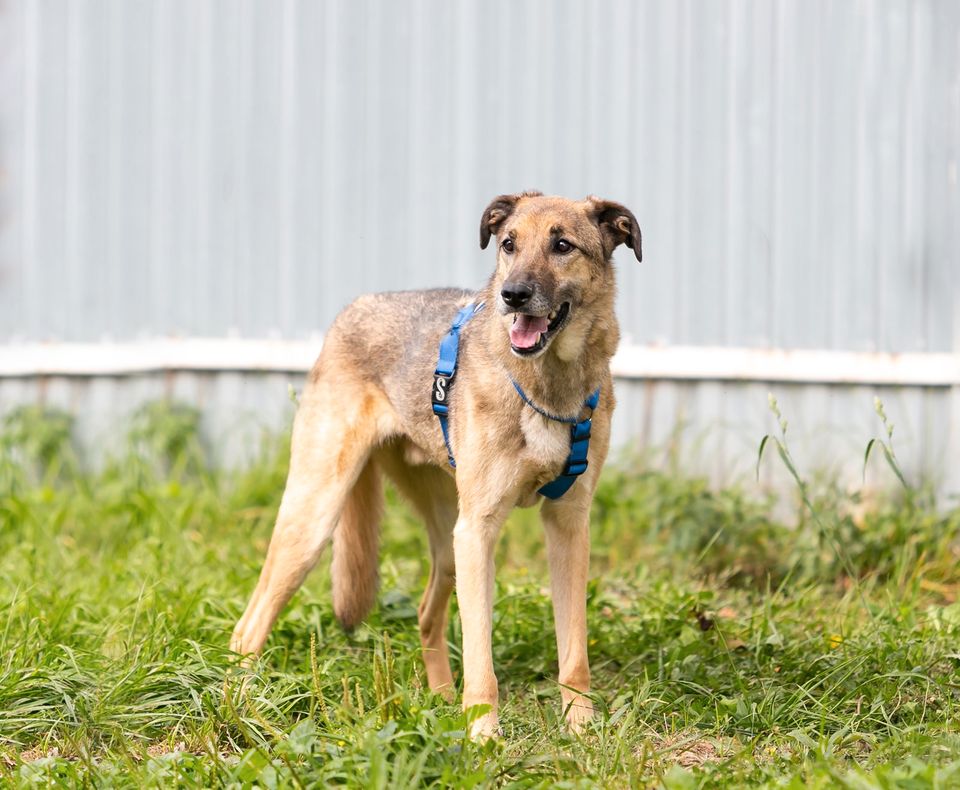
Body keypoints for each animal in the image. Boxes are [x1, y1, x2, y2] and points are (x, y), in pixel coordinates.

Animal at [229, 195, 640, 740]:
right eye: (509, 244)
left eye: (562, 245)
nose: (512, 296)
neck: (546, 384)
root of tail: (353, 308)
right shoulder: (480, 531)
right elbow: (482, 659)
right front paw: (484, 736)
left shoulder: (569, 525)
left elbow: (573, 652)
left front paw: (580, 730)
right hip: (316, 520)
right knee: (248, 624)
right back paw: (241, 705)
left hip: (448, 543)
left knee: (426, 614)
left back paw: (442, 702)